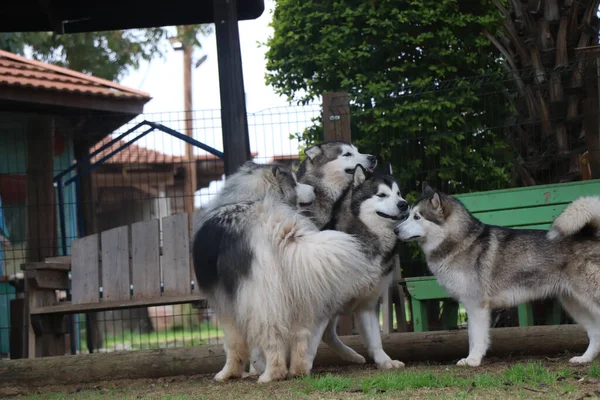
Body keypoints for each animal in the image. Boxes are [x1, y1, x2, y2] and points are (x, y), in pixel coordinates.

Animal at [193, 162, 380, 382]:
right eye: (295, 183)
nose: (314, 189)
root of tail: (278, 227)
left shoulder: (227, 303)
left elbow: (233, 343)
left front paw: (229, 373)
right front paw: (253, 368)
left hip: (261, 298)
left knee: (272, 336)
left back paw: (271, 374)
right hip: (298, 293)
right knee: (301, 335)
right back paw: (298, 370)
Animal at [394, 184, 600, 366]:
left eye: (417, 216)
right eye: (409, 214)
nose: (395, 230)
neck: (461, 241)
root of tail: (593, 236)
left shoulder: (477, 306)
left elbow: (477, 338)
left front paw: (473, 360)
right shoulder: (469, 306)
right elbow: (472, 337)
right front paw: (471, 358)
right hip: (574, 304)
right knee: (595, 333)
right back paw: (584, 359)